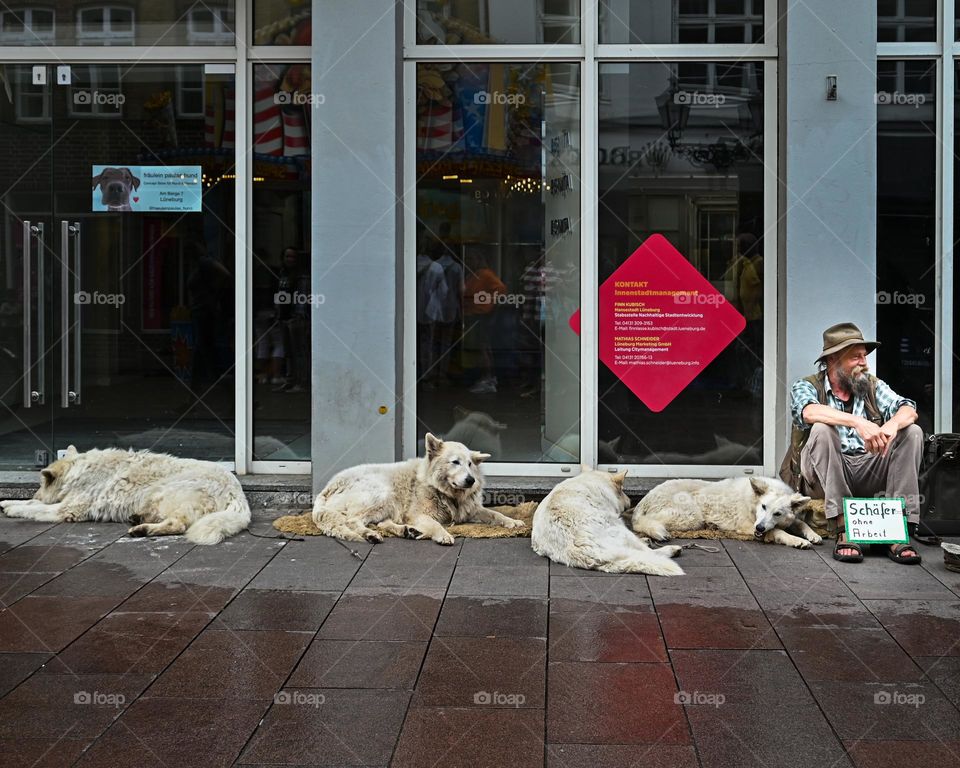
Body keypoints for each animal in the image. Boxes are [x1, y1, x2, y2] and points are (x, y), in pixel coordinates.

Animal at [0, 444, 251, 544]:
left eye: (41, 484)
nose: (38, 492)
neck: (77, 469)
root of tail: (237, 493)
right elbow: (29, 502)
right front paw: (6, 501)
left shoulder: (68, 509)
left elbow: (34, 508)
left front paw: (13, 508)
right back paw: (139, 519)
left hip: (166, 491)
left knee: (178, 524)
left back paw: (143, 529)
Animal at [314, 432, 524, 544]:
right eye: (455, 462)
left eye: (470, 464)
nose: (471, 480)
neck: (444, 491)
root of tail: (327, 488)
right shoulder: (417, 514)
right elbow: (435, 524)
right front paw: (443, 535)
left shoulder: (471, 510)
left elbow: (495, 514)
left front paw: (512, 522)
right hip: (383, 494)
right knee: (352, 521)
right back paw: (371, 535)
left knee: (380, 522)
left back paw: (406, 531)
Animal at [532, 468, 684, 576]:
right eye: (622, 490)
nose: (630, 501)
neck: (592, 479)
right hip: (620, 528)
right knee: (648, 553)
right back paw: (671, 550)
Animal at [632, 476, 816, 548]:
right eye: (764, 507)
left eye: (777, 513)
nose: (759, 529)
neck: (752, 502)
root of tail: (641, 503)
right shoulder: (747, 526)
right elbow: (778, 531)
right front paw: (797, 540)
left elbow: (800, 522)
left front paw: (813, 535)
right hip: (692, 516)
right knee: (646, 524)